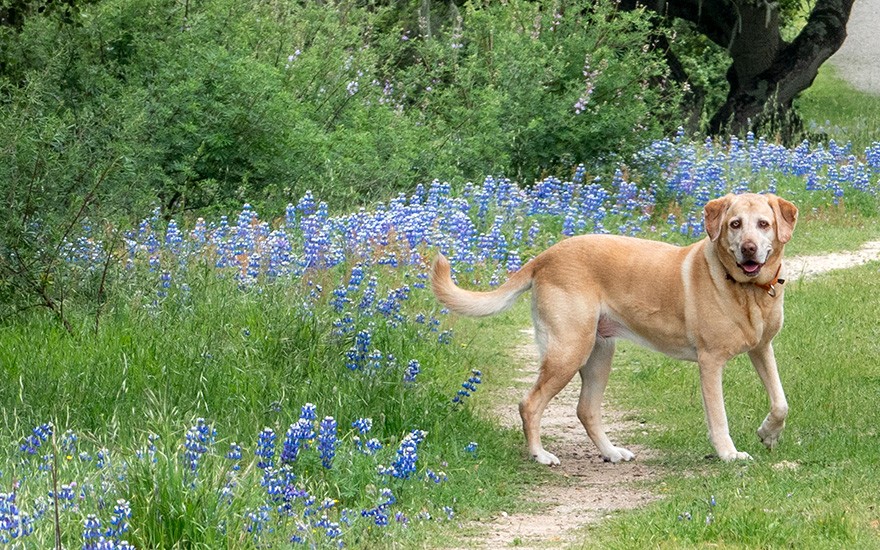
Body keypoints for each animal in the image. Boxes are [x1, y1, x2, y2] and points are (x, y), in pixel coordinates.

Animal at [434, 194, 796, 466]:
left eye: (763, 224)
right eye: (735, 224)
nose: (749, 248)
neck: (747, 290)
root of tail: (544, 256)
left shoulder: (762, 348)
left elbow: (781, 402)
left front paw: (769, 433)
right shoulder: (710, 362)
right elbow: (718, 418)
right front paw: (728, 454)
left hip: (599, 353)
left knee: (586, 410)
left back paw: (610, 452)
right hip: (569, 350)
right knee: (530, 404)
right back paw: (540, 455)